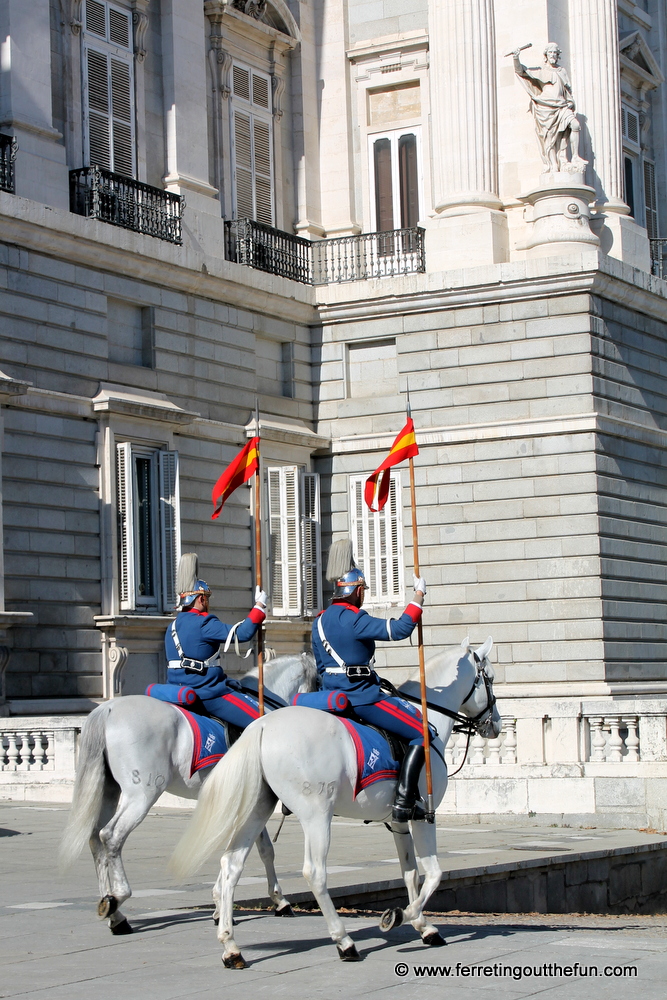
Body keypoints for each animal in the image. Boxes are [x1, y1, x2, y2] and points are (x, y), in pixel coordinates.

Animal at [58, 652, 318, 932]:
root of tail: (107, 709)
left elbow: (261, 849)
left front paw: (228, 905)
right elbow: (254, 849)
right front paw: (269, 901)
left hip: (109, 791)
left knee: (95, 837)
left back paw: (115, 914)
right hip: (141, 795)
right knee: (111, 835)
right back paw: (118, 897)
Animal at [171, 636, 500, 964]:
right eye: (491, 678)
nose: (495, 724)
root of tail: (262, 725)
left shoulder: (399, 821)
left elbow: (410, 874)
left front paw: (423, 925)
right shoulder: (424, 817)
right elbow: (433, 874)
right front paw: (401, 916)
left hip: (257, 809)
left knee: (232, 865)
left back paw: (231, 946)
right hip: (317, 816)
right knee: (314, 873)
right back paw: (344, 941)